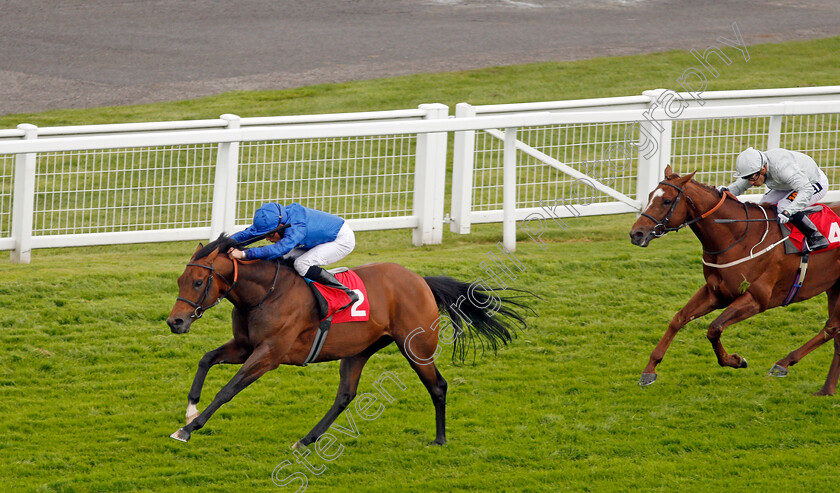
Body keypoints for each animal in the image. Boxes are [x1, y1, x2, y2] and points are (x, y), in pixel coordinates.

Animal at [165, 233, 532, 444]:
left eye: (198, 282)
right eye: (181, 279)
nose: (175, 321)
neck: (265, 293)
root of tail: (421, 281)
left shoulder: (269, 354)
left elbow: (229, 389)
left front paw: (189, 428)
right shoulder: (245, 347)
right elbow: (206, 359)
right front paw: (190, 411)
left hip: (416, 347)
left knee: (438, 385)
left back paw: (440, 440)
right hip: (358, 350)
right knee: (345, 395)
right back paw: (307, 439)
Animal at [632, 165, 840, 396]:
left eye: (667, 201)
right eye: (650, 196)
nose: (636, 233)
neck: (738, 237)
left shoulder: (757, 299)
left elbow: (714, 328)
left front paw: (734, 360)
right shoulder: (715, 292)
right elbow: (678, 319)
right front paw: (649, 370)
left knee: (833, 328)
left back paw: (791, 368)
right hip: (834, 287)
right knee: (834, 330)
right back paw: (819, 384)